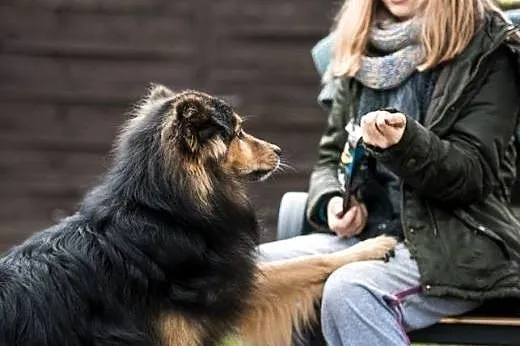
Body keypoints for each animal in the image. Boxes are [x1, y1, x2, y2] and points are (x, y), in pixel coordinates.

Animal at [0, 84, 394, 346]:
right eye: (238, 132)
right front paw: (371, 247)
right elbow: (308, 263)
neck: (166, 213)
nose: (279, 150)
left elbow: (303, 264)